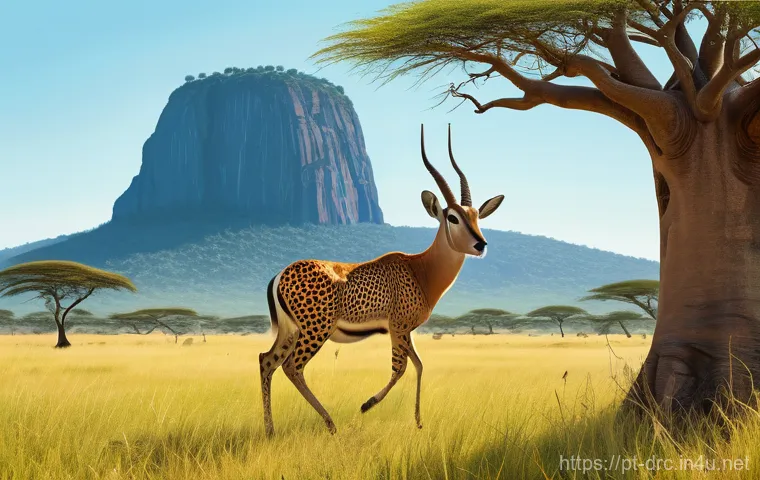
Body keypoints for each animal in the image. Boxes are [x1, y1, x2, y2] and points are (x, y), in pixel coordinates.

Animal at [259, 124, 504, 436]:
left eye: (476, 216)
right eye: (452, 217)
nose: (480, 244)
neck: (420, 269)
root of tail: (280, 274)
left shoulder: (406, 330)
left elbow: (419, 365)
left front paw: (418, 421)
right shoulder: (397, 327)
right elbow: (401, 368)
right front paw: (366, 405)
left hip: (291, 331)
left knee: (267, 361)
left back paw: (270, 430)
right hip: (315, 331)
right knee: (292, 367)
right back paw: (330, 424)